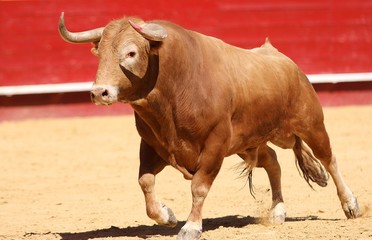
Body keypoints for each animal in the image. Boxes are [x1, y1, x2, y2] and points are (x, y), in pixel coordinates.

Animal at [58, 12, 360, 240]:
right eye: (100, 55)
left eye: (131, 53)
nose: (99, 92)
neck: (174, 84)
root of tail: (285, 61)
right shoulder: (152, 145)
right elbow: (145, 181)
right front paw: (167, 215)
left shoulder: (215, 144)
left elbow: (199, 187)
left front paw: (191, 227)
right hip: (251, 141)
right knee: (274, 162)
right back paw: (278, 212)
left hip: (311, 124)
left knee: (329, 159)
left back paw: (351, 205)